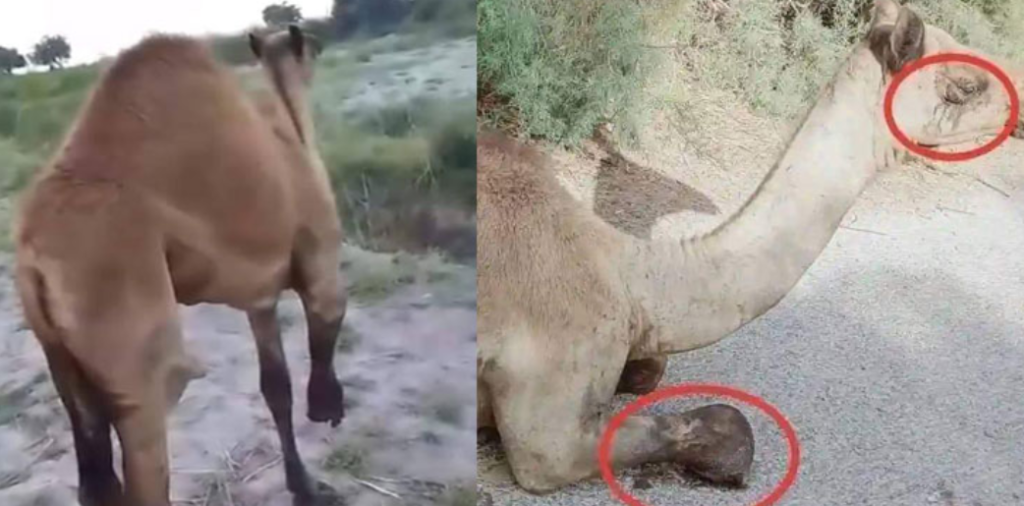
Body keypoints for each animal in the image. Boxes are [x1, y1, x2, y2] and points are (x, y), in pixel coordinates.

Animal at [13, 26, 346, 506]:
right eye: (314, 43)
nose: (323, 46)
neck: (290, 136)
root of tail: (33, 261)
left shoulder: (259, 298)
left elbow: (275, 388)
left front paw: (303, 487)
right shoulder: (321, 253)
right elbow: (326, 317)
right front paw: (327, 409)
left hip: (58, 353)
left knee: (93, 462)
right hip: (134, 343)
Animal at [478, 0, 1024, 493]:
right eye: (966, 85)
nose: (1018, 98)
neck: (634, 278)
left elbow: (652, 370)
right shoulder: (549, 407)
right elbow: (724, 423)